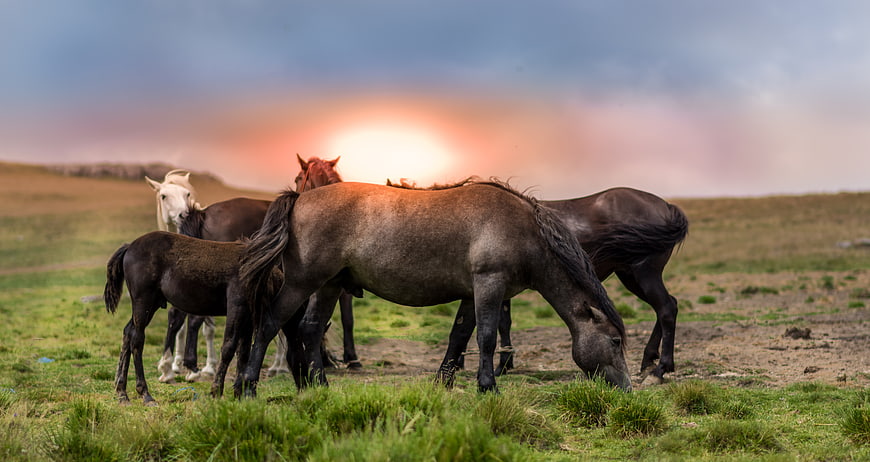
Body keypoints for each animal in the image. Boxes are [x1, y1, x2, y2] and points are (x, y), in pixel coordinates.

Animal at [104, 231, 282, 405]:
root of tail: (129, 246)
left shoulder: (248, 316)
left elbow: (243, 352)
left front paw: (240, 394)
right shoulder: (237, 306)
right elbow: (229, 347)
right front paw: (217, 391)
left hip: (151, 304)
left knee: (128, 332)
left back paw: (122, 393)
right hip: (143, 303)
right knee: (137, 339)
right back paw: (145, 394)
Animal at [237, 179, 631, 397]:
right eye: (614, 341)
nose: (627, 389)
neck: (522, 229)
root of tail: (299, 198)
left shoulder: (472, 294)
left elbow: (459, 337)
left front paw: (445, 383)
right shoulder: (489, 285)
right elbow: (487, 338)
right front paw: (488, 386)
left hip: (330, 286)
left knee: (309, 328)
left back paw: (320, 386)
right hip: (303, 283)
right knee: (269, 324)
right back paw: (248, 387)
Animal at [440, 187, 688, 382]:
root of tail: (666, 207)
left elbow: (497, 323)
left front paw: (499, 365)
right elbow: (502, 322)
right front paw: (502, 363)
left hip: (644, 274)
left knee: (666, 309)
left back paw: (660, 369)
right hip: (631, 277)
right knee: (668, 306)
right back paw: (649, 360)